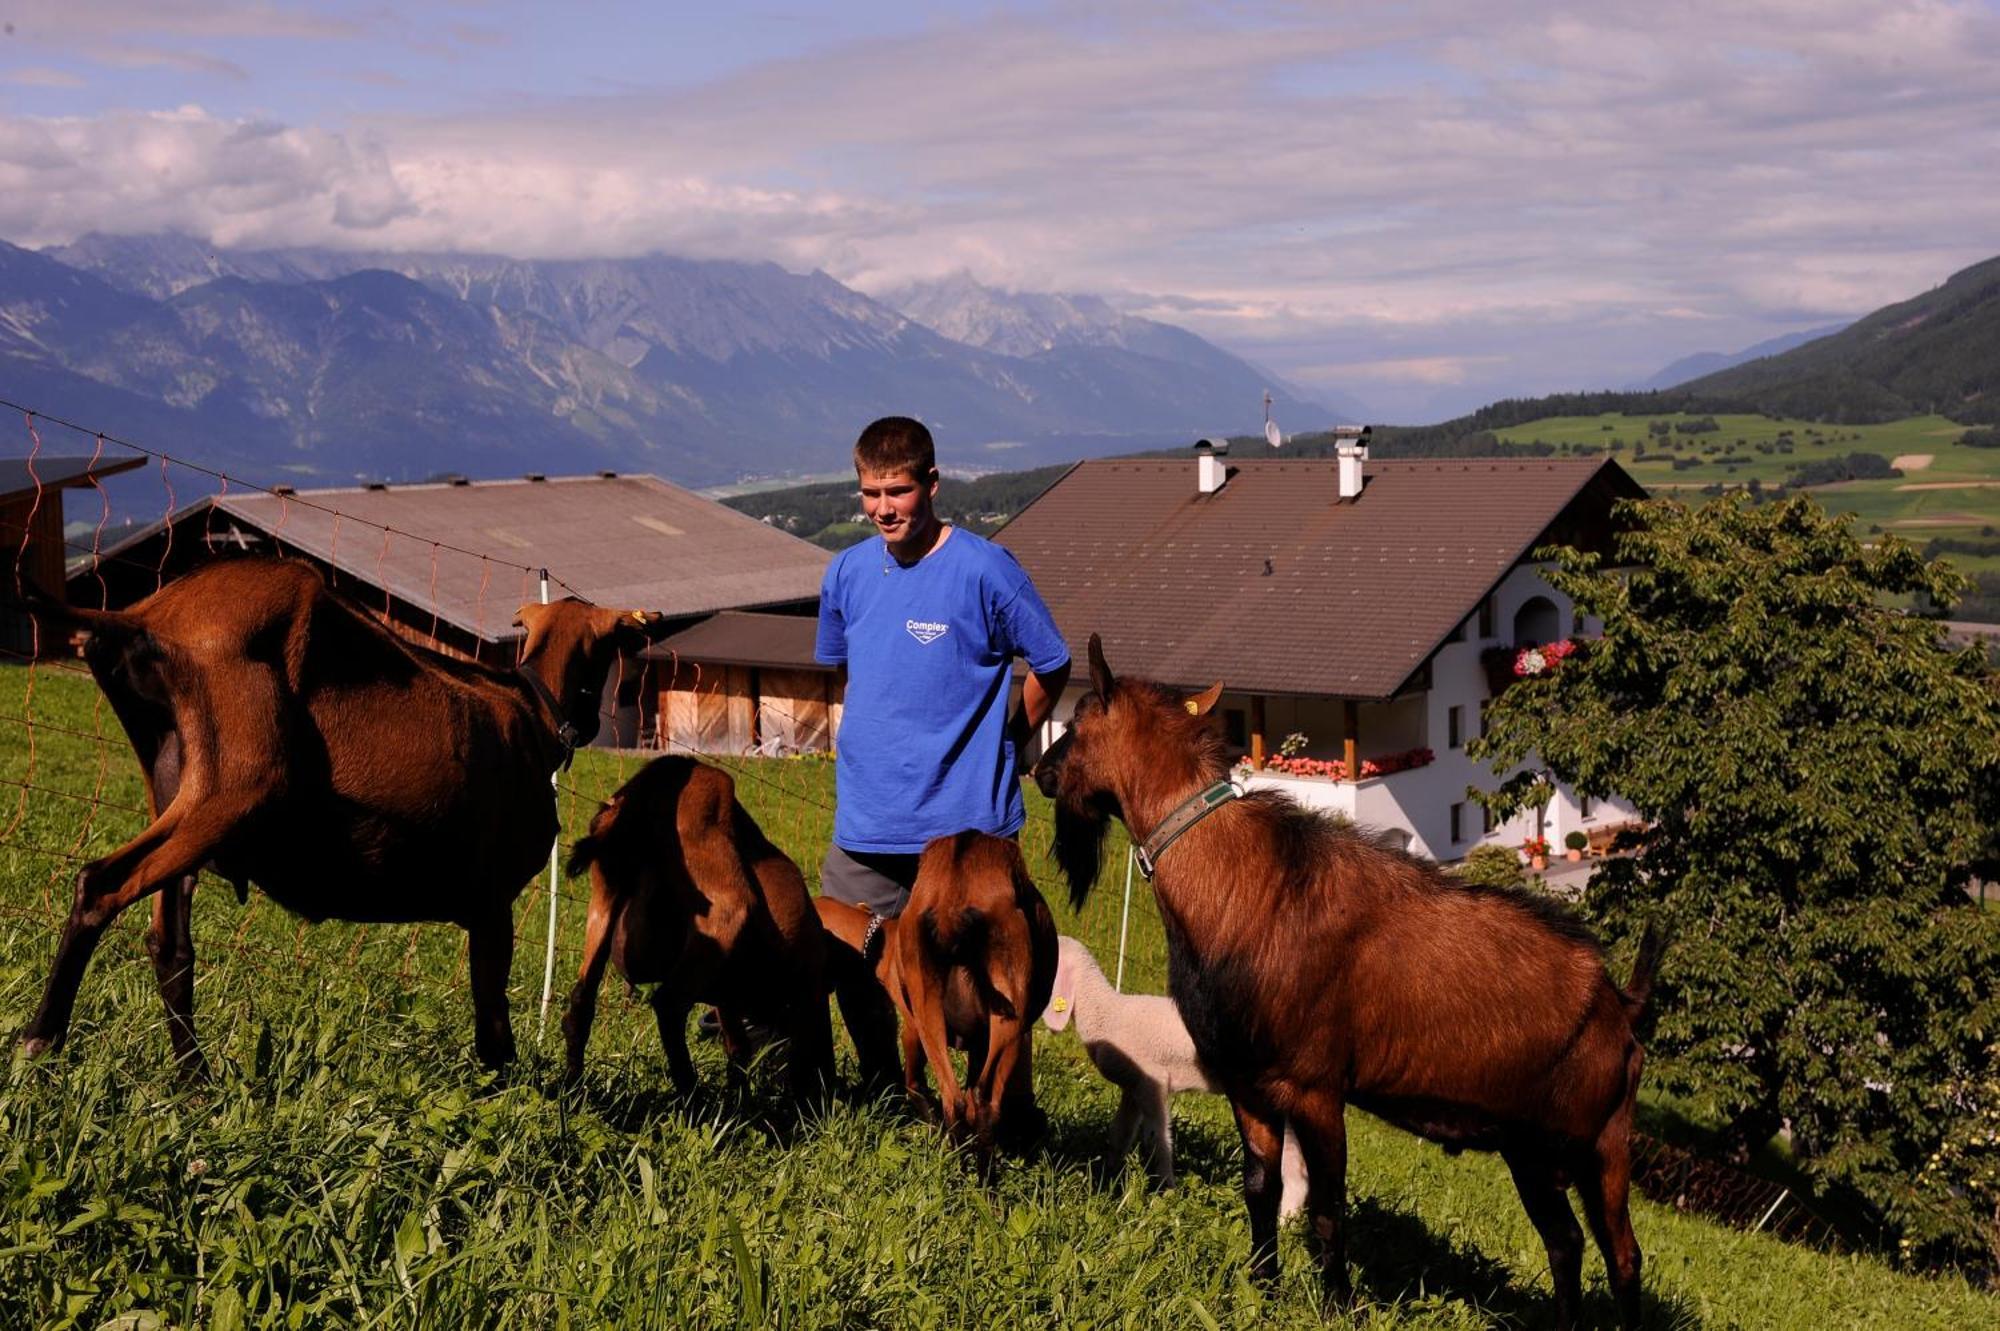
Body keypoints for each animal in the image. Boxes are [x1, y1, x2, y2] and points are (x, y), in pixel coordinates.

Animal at [15, 555, 668, 1071]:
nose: (594, 724)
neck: (532, 707)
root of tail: (145, 619)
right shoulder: (492, 900)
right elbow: (493, 1027)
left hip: (178, 787)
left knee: (169, 945)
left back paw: (195, 1083)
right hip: (238, 786)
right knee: (99, 884)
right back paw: (40, 1042)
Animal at [564, 751, 836, 1095]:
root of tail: (662, 774)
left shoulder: (728, 993)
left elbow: (738, 1048)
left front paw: (740, 1093)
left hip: (605, 898)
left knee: (580, 1002)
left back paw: (573, 1085)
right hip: (725, 911)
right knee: (668, 1004)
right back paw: (692, 1093)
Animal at [812, 831, 1064, 1151]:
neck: (882, 938)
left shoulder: (910, 1028)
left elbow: (915, 1083)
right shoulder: (978, 1042)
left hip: (931, 1021)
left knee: (955, 1101)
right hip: (1006, 1026)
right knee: (979, 1103)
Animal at [1040, 931, 1304, 1215]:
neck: (1105, 1012)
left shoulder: (1151, 1081)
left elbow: (1157, 1139)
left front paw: (1166, 1193)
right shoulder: (1132, 1087)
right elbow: (1120, 1133)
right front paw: (1108, 1178)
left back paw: (1286, 1218)